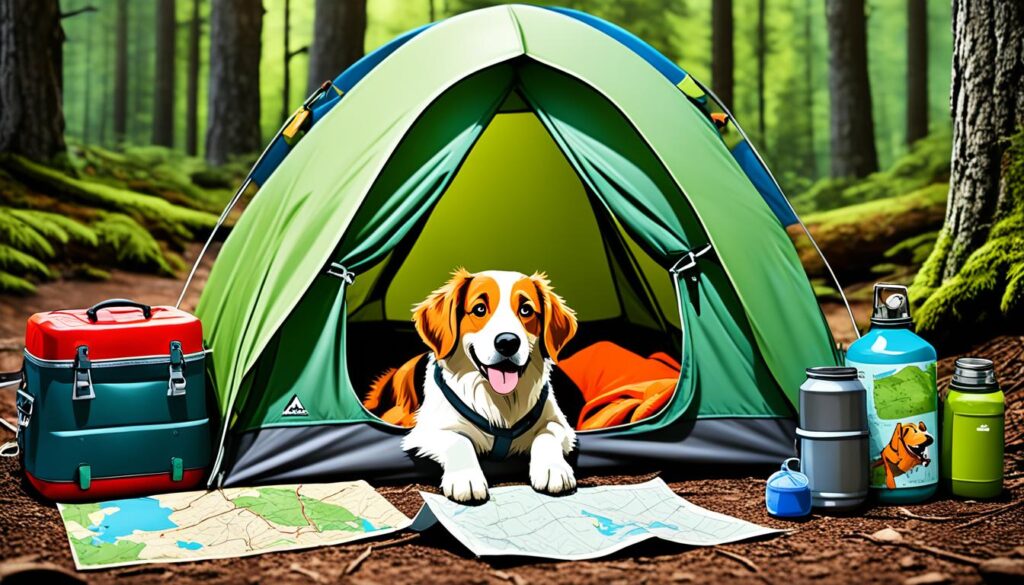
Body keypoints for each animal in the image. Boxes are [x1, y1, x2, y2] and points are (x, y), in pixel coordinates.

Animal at [380, 270, 581, 504]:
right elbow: (459, 439)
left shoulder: (559, 423)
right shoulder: (426, 431)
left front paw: (553, 469)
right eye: (479, 309)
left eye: (526, 310)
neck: (501, 400)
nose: (507, 342)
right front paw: (466, 478)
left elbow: (547, 434)